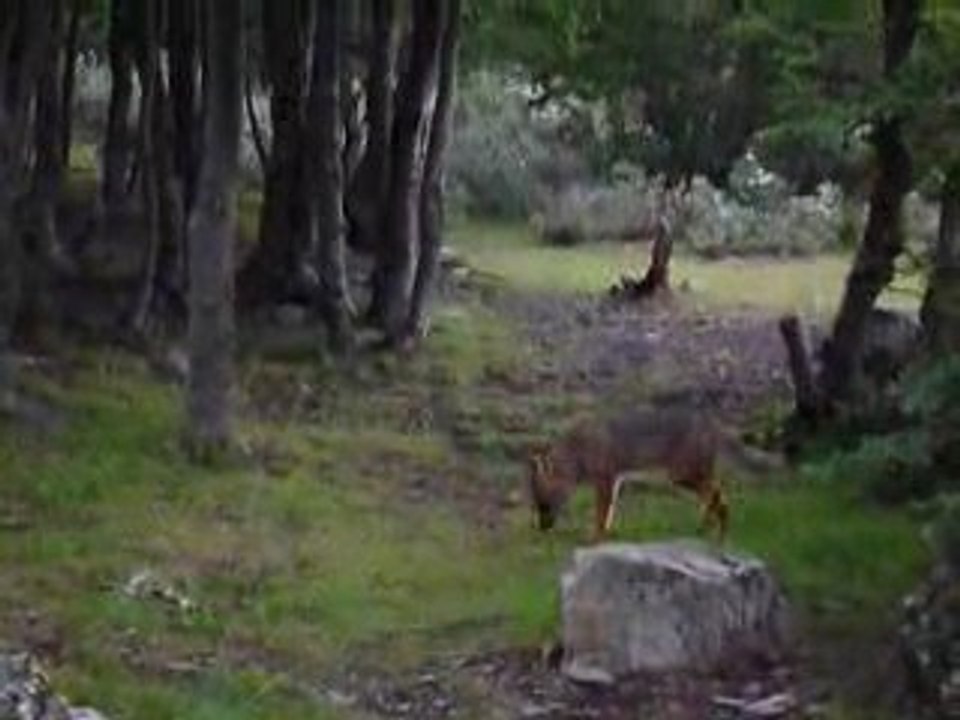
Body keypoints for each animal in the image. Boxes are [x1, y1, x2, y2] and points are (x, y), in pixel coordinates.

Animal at [527, 407, 782, 542]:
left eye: (543, 504)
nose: (542, 529)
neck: (578, 448)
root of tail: (708, 419)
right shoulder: (615, 481)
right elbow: (608, 514)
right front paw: (605, 535)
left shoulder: (605, 481)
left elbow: (600, 515)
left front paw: (594, 538)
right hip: (688, 477)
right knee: (719, 497)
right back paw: (712, 532)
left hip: (682, 476)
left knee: (716, 497)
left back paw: (711, 532)